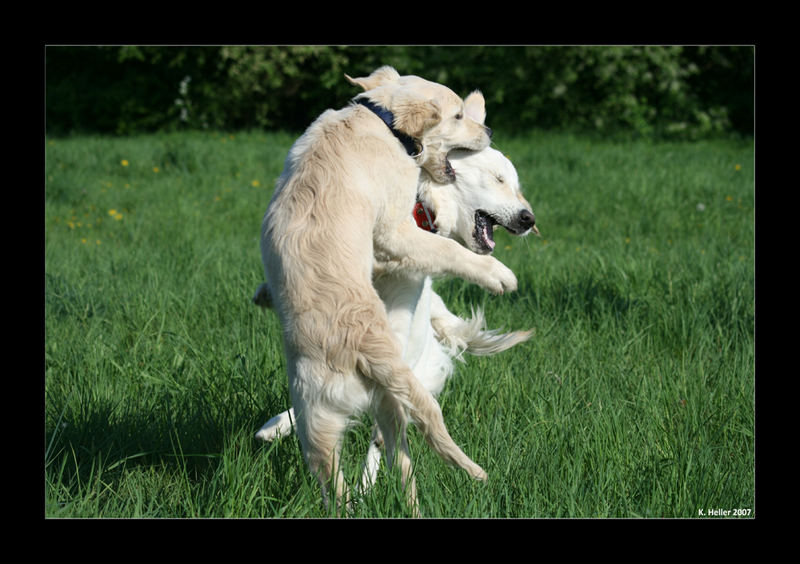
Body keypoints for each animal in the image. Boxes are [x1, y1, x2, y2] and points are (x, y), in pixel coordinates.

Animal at [260, 67, 516, 512]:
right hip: (400, 396)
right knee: (425, 434)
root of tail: (359, 350)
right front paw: (497, 274)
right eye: (458, 115)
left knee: (361, 474)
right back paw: (475, 473)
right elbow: (447, 249)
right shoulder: (395, 229)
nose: (489, 129)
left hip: (325, 422)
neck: (380, 119)